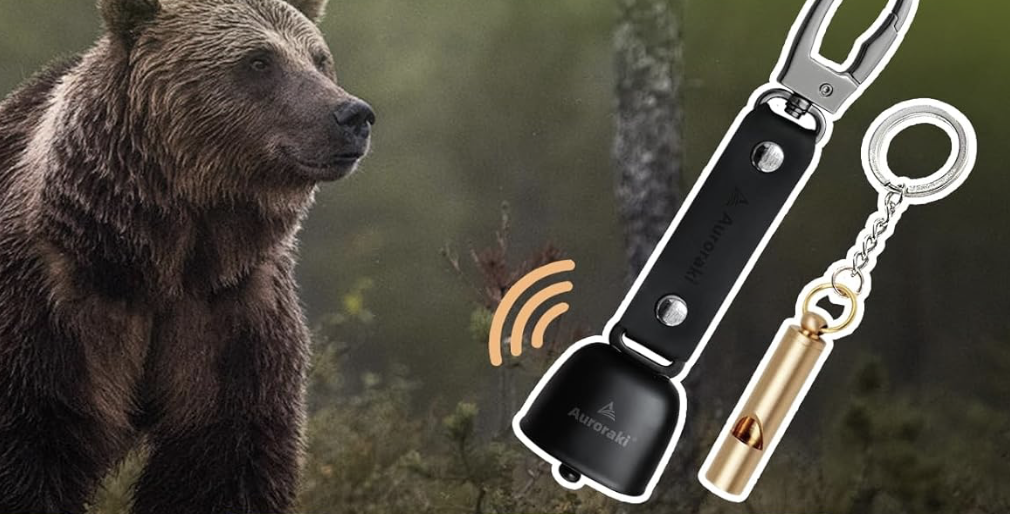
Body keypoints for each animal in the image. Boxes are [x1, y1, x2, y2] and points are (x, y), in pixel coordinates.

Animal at [0, 0, 375, 512]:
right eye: (259, 61)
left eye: (319, 59)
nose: (353, 115)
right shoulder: (51, 309)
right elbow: (31, 447)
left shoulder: (232, 315)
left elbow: (224, 463)